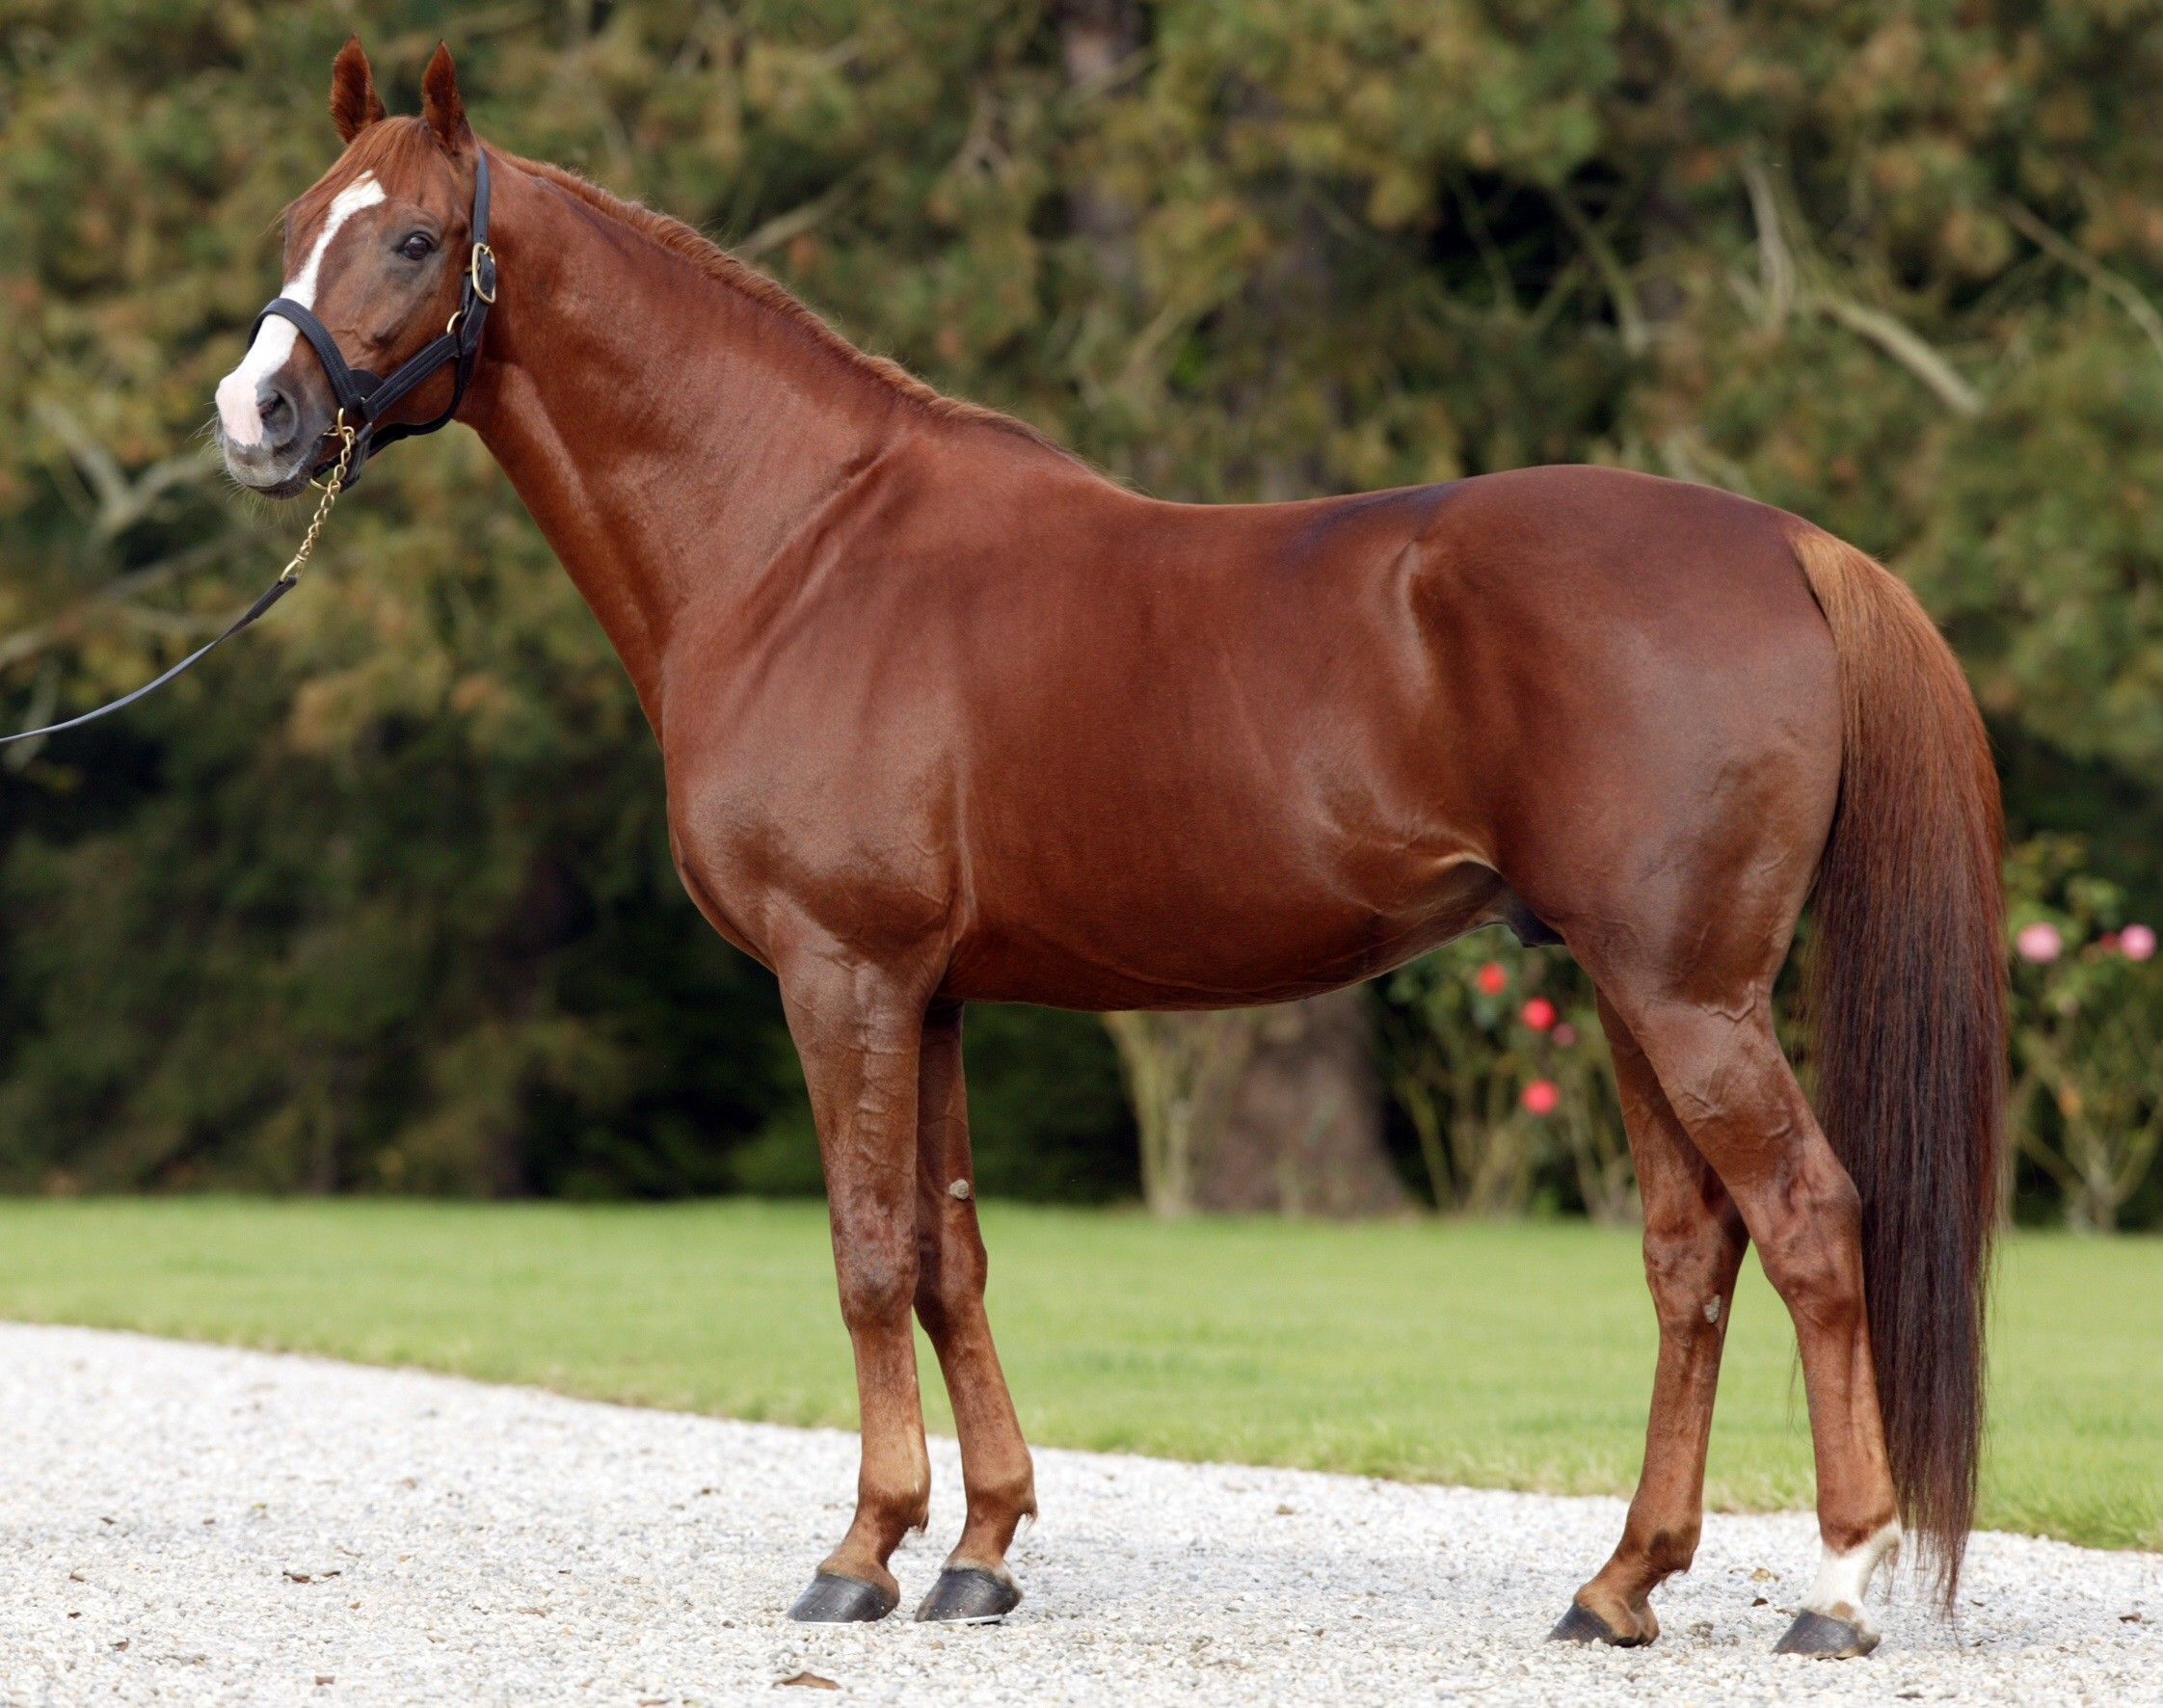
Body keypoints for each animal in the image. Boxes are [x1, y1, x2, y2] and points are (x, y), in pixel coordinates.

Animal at [212, 40, 2005, 1657]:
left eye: (412, 239)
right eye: (298, 219)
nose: (255, 415)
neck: (797, 547)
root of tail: (1791, 544)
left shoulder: (840, 973)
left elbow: (867, 1255)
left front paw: (860, 1554)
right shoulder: (929, 991)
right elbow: (949, 1255)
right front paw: (979, 1550)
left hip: (1686, 992)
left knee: (1808, 1223)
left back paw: (1836, 1588)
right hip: (1636, 991)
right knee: (1691, 1252)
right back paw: (1619, 1582)